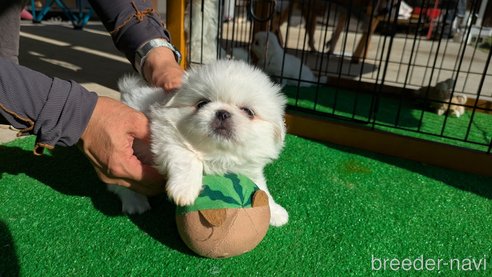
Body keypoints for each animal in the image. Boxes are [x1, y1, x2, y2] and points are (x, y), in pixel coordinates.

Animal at [111, 59, 288, 225]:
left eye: (248, 112)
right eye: (202, 103)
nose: (222, 113)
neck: (217, 155)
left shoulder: (249, 169)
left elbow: (261, 187)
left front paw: (275, 212)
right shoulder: (165, 135)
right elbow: (187, 158)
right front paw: (184, 190)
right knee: (120, 186)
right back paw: (135, 202)